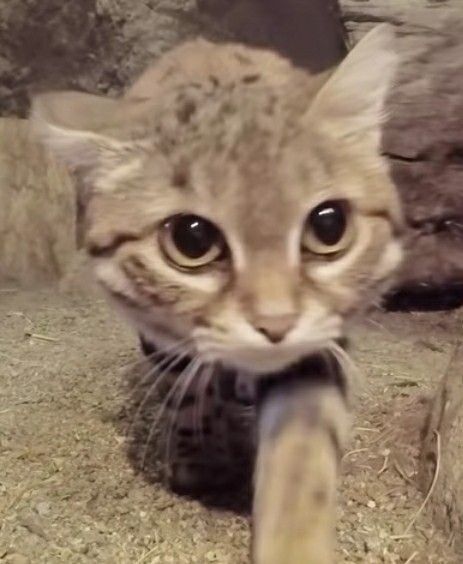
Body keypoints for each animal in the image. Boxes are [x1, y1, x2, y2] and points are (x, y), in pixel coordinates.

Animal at [31, 25, 402, 564]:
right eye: (192, 239)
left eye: (329, 226)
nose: (276, 323)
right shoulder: (161, 331)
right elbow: (187, 385)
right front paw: (199, 453)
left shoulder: (320, 340)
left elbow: (302, 449)